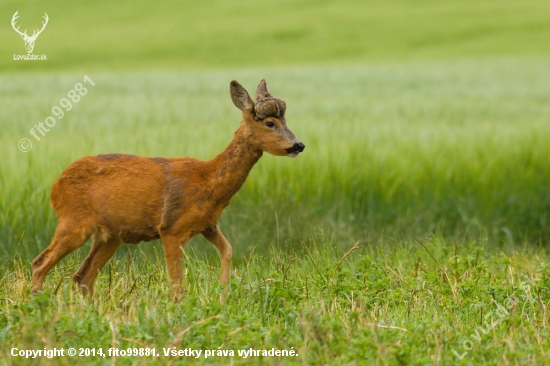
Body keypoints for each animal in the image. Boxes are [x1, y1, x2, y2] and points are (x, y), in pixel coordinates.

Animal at [31, 79, 306, 300]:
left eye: (285, 120)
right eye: (270, 123)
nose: (298, 145)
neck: (209, 181)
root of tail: (55, 186)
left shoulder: (207, 224)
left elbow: (227, 250)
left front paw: (223, 296)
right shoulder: (171, 228)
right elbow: (177, 285)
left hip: (110, 235)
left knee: (83, 277)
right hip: (74, 221)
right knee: (40, 262)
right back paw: (37, 304)